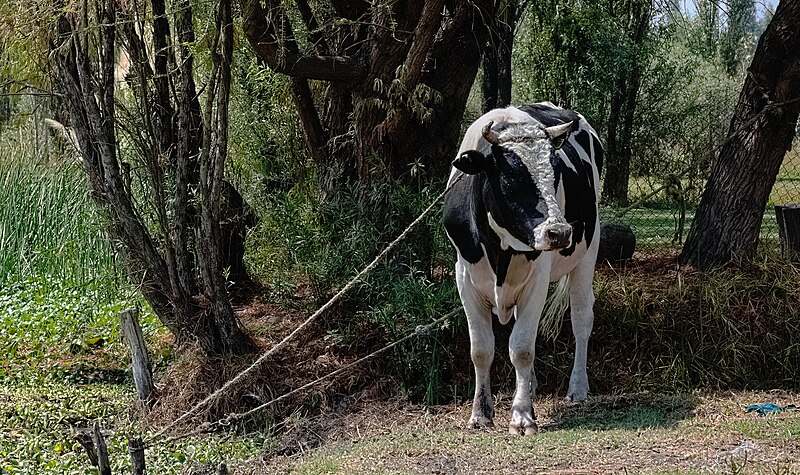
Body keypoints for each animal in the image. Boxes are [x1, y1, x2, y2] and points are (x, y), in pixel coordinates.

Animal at [440, 103, 604, 436]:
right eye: (511, 177)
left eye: (556, 172)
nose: (559, 232)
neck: (499, 249)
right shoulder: (464, 278)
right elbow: (481, 349)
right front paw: (480, 413)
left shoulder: (537, 279)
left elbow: (522, 347)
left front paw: (522, 416)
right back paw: (531, 385)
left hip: (588, 252)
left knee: (581, 319)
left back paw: (578, 389)